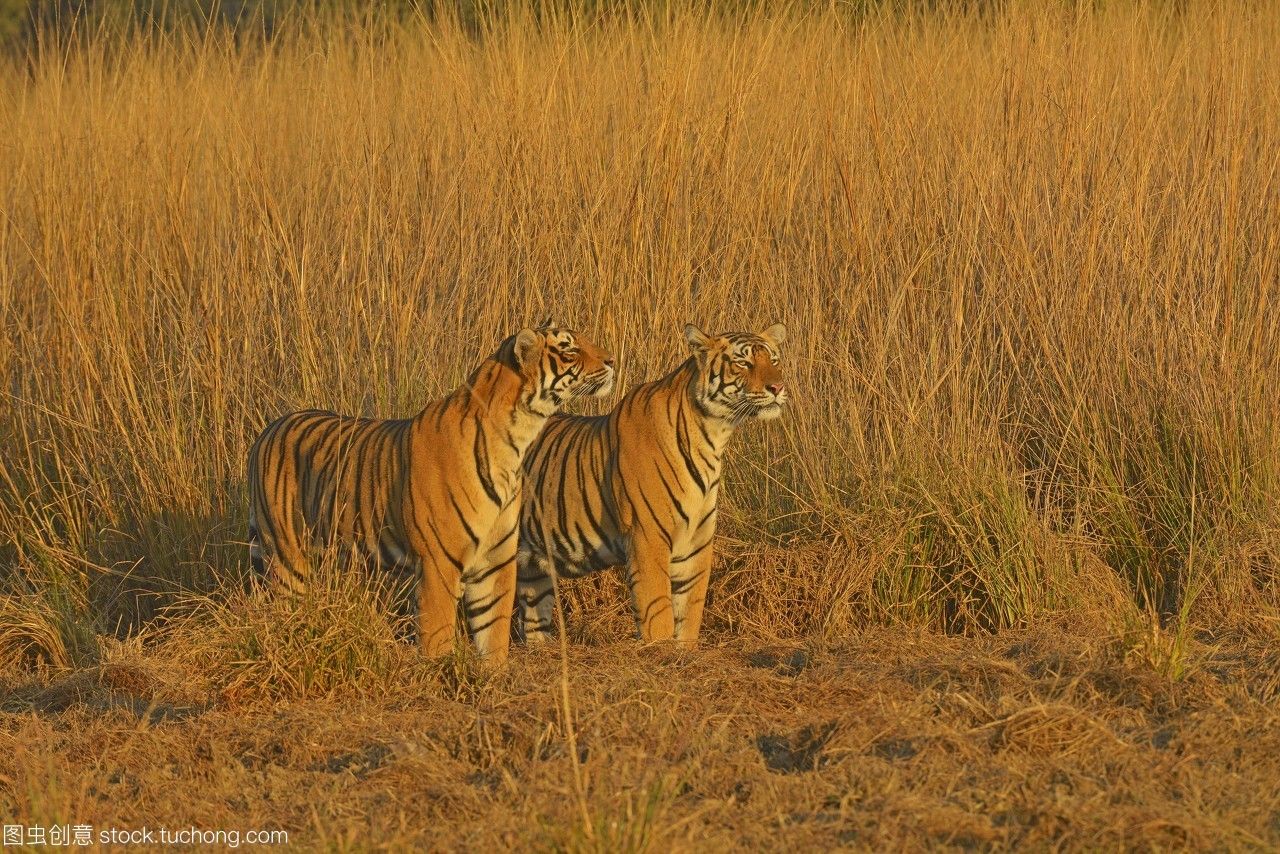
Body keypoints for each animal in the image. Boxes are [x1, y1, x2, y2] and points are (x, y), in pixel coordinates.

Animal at [247, 323, 616, 665]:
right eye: (569, 349)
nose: (612, 361)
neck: (517, 439)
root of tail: (267, 429)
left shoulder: (495, 560)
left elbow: (493, 631)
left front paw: (492, 675)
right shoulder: (439, 561)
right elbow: (438, 634)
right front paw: (441, 675)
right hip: (286, 557)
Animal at [514, 323, 783, 645]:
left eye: (774, 361)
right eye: (744, 363)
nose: (778, 388)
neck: (713, 434)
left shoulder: (696, 544)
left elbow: (689, 613)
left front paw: (683, 650)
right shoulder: (647, 538)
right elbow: (659, 615)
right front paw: (660, 649)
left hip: (532, 571)